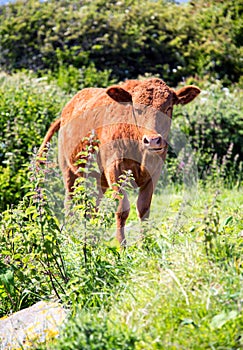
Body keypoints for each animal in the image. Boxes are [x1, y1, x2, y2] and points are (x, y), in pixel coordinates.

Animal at [39, 78, 200, 246]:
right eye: (137, 109)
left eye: (168, 107)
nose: (153, 140)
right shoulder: (114, 170)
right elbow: (122, 208)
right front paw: (121, 245)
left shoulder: (153, 173)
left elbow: (144, 208)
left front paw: (145, 243)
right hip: (69, 170)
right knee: (70, 202)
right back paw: (71, 235)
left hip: (98, 179)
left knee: (95, 206)